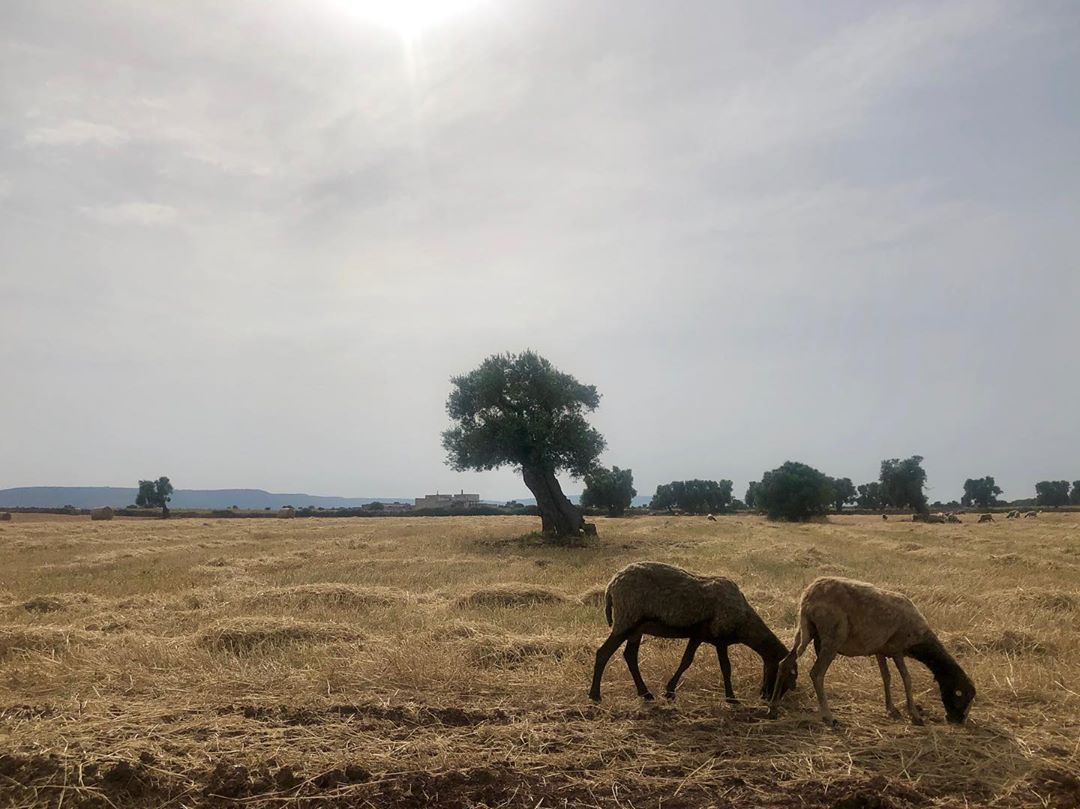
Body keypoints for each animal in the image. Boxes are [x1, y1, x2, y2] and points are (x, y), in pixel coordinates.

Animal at [591, 561, 794, 699]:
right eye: (787, 675)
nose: (768, 697)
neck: (744, 621)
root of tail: (612, 585)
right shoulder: (720, 637)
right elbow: (725, 667)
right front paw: (731, 698)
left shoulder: (699, 635)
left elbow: (686, 661)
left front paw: (670, 691)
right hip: (626, 619)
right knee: (603, 653)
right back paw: (595, 695)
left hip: (636, 628)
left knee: (630, 656)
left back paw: (645, 693)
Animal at [768, 574, 980, 725]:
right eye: (962, 696)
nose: (958, 721)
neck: (920, 641)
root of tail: (809, 596)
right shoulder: (897, 649)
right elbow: (907, 679)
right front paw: (915, 715)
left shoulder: (881, 650)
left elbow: (886, 677)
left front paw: (891, 709)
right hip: (832, 636)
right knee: (817, 673)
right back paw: (828, 717)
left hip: (804, 630)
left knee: (785, 662)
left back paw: (773, 708)